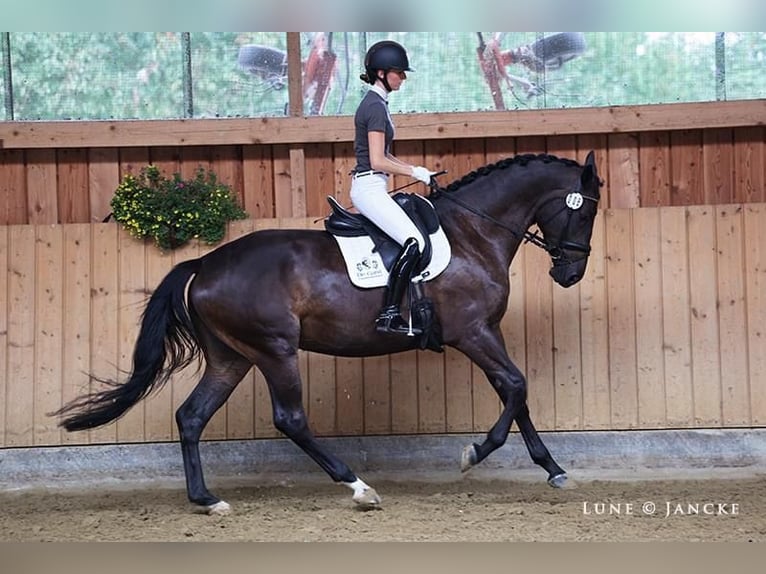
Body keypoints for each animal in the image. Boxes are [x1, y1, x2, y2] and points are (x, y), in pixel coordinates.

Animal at [54, 151, 608, 516]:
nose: (570, 274)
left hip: (232, 357)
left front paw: (553, 469)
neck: (473, 233)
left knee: (191, 417)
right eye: (584, 209)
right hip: (274, 350)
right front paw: (474, 453)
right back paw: (358, 487)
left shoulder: (486, 332)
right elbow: (515, 386)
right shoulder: (473, 332)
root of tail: (204, 264)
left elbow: (515, 393)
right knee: (290, 419)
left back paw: (208, 500)